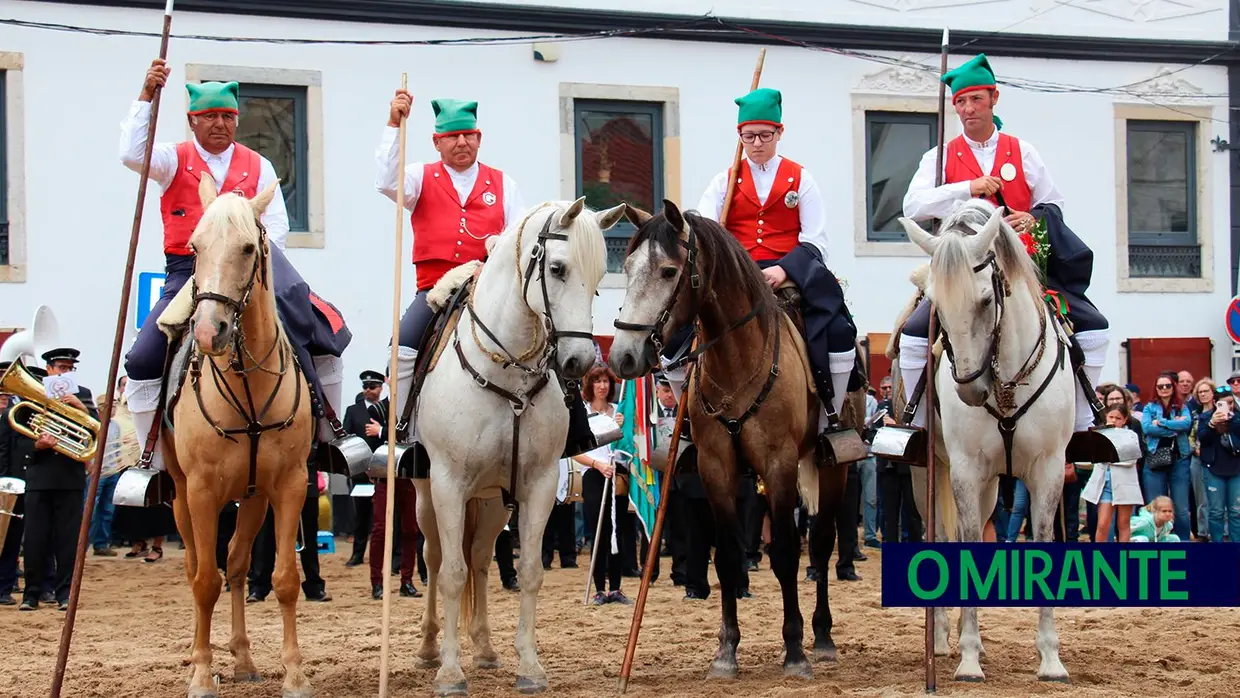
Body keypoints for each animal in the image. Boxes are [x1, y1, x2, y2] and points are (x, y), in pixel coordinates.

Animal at [163, 176, 314, 698]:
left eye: (249, 247)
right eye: (194, 246)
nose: (210, 332)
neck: (249, 387)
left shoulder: (288, 485)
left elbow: (284, 579)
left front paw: (293, 674)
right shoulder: (202, 490)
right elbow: (204, 582)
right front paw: (201, 675)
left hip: (251, 498)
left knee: (237, 563)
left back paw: (244, 658)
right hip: (181, 495)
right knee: (197, 568)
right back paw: (196, 655)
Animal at [411, 198, 620, 698]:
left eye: (601, 274)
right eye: (558, 268)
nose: (579, 362)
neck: (506, 374)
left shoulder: (538, 485)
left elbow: (528, 572)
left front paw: (529, 665)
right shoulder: (448, 484)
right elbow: (451, 574)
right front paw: (451, 673)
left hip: (491, 502)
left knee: (481, 560)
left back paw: (486, 649)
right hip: (427, 495)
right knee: (435, 558)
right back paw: (429, 649)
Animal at [607, 200, 863, 684]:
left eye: (668, 271)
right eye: (626, 268)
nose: (622, 357)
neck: (736, 358)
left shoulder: (779, 465)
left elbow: (785, 553)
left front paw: (794, 650)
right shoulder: (715, 467)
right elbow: (726, 557)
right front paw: (726, 652)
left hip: (834, 468)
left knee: (821, 544)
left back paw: (822, 637)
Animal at [892, 200, 1076, 684]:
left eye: (986, 300)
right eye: (936, 306)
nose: (970, 390)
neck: (1005, 379)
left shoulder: (1048, 468)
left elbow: (1042, 540)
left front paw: (1051, 658)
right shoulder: (963, 469)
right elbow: (966, 543)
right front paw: (969, 658)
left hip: (992, 485)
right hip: (927, 473)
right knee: (940, 537)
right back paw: (941, 638)